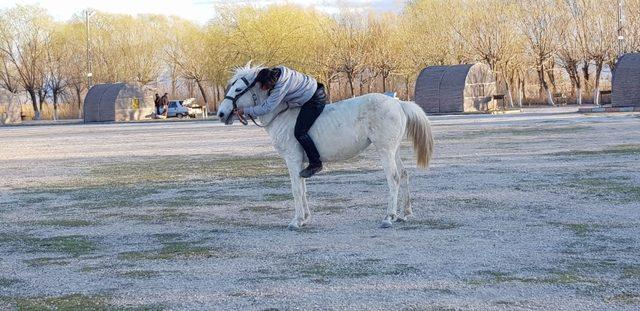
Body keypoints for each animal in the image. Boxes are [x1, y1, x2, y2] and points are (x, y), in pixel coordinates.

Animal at [216, 64, 436, 229]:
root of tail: (398, 103)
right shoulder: (300, 163)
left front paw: (296, 221)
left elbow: (296, 189)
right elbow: (303, 188)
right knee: (404, 174)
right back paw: (404, 214)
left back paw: (389, 217)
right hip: (393, 150)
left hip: (385, 151)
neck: (281, 116)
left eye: (238, 90)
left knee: (394, 178)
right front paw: (304, 218)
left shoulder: (292, 159)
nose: (221, 113)